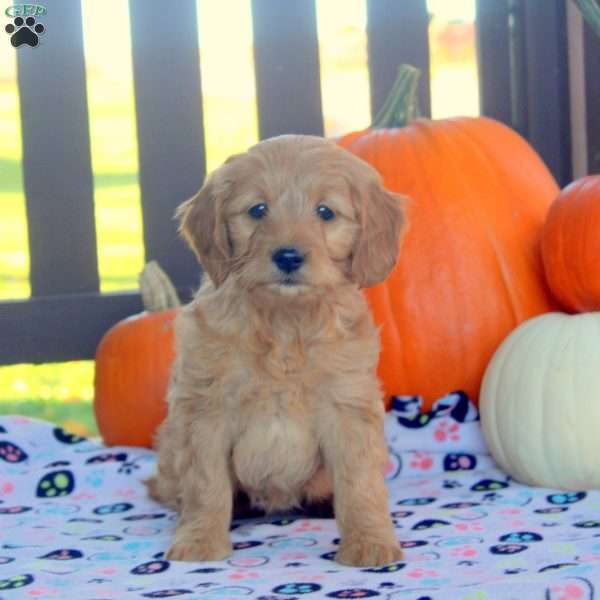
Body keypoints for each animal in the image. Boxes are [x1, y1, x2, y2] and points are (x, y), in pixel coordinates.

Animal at [146, 132, 408, 568]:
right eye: (258, 210)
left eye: (325, 212)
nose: (288, 256)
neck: (285, 325)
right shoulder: (206, 410)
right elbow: (205, 484)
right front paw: (200, 540)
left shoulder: (348, 406)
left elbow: (360, 485)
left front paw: (369, 542)